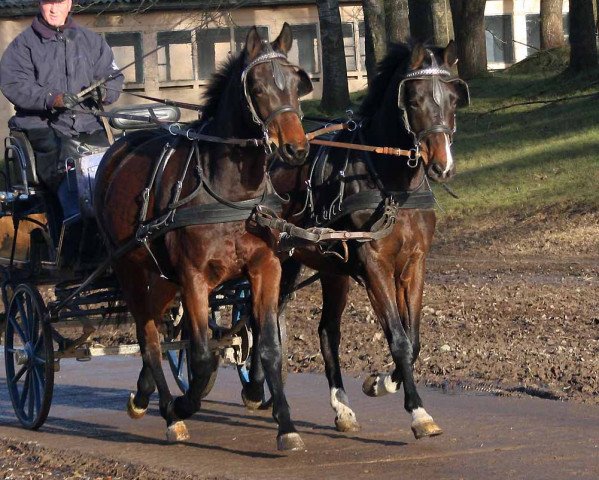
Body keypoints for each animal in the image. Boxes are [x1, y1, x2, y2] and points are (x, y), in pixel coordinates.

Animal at [94, 23, 314, 450]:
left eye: (297, 83)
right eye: (257, 86)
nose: (295, 148)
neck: (229, 194)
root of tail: (118, 149)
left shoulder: (265, 269)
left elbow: (268, 347)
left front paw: (286, 425)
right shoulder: (194, 278)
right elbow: (199, 355)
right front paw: (184, 404)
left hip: (162, 276)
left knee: (155, 326)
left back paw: (143, 394)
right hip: (130, 267)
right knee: (148, 335)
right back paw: (167, 411)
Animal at [260, 41, 472, 438]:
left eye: (453, 98)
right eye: (415, 100)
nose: (442, 165)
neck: (391, 186)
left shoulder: (413, 264)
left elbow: (413, 339)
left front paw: (381, 383)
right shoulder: (375, 266)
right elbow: (398, 338)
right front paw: (418, 412)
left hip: (331, 269)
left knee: (327, 332)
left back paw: (340, 408)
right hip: (279, 261)